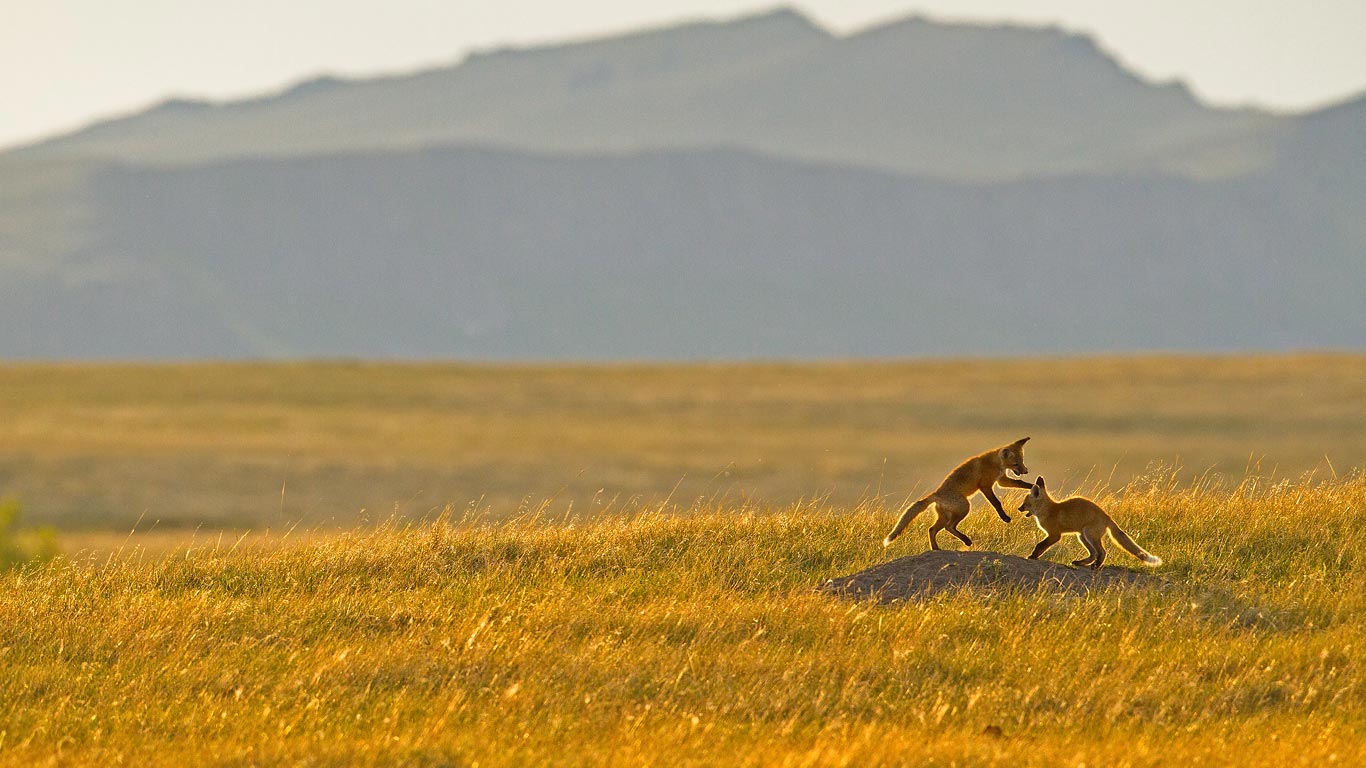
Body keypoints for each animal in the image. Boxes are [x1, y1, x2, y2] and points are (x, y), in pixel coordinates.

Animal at [883, 437, 1033, 550]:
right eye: (1015, 464)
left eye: (1022, 461)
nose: (1026, 470)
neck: (995, 463)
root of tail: (936, 494)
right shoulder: (985, 485)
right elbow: (996, 503)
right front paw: (1004, 517)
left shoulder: (1001, 479)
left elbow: (1021, 483)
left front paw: (1033, 486)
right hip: (964, 507)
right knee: (948, 527)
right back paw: (964, 541)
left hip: (945, 515)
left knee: (932, 529)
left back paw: (937, 548)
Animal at [1016, 476, 1162, 569]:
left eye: (1025, 504)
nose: (1019, 508)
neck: (1049, 510)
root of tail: (1107, 516)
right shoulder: (1054, 535)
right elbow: (1041, 546)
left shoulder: (1054, 535)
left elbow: (1040, 545)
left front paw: (1033, 556)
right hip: (1082, 536)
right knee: (1093, 554)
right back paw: (1081, 563)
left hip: (1089, 535)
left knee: (1101, 552)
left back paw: (1096, 566)